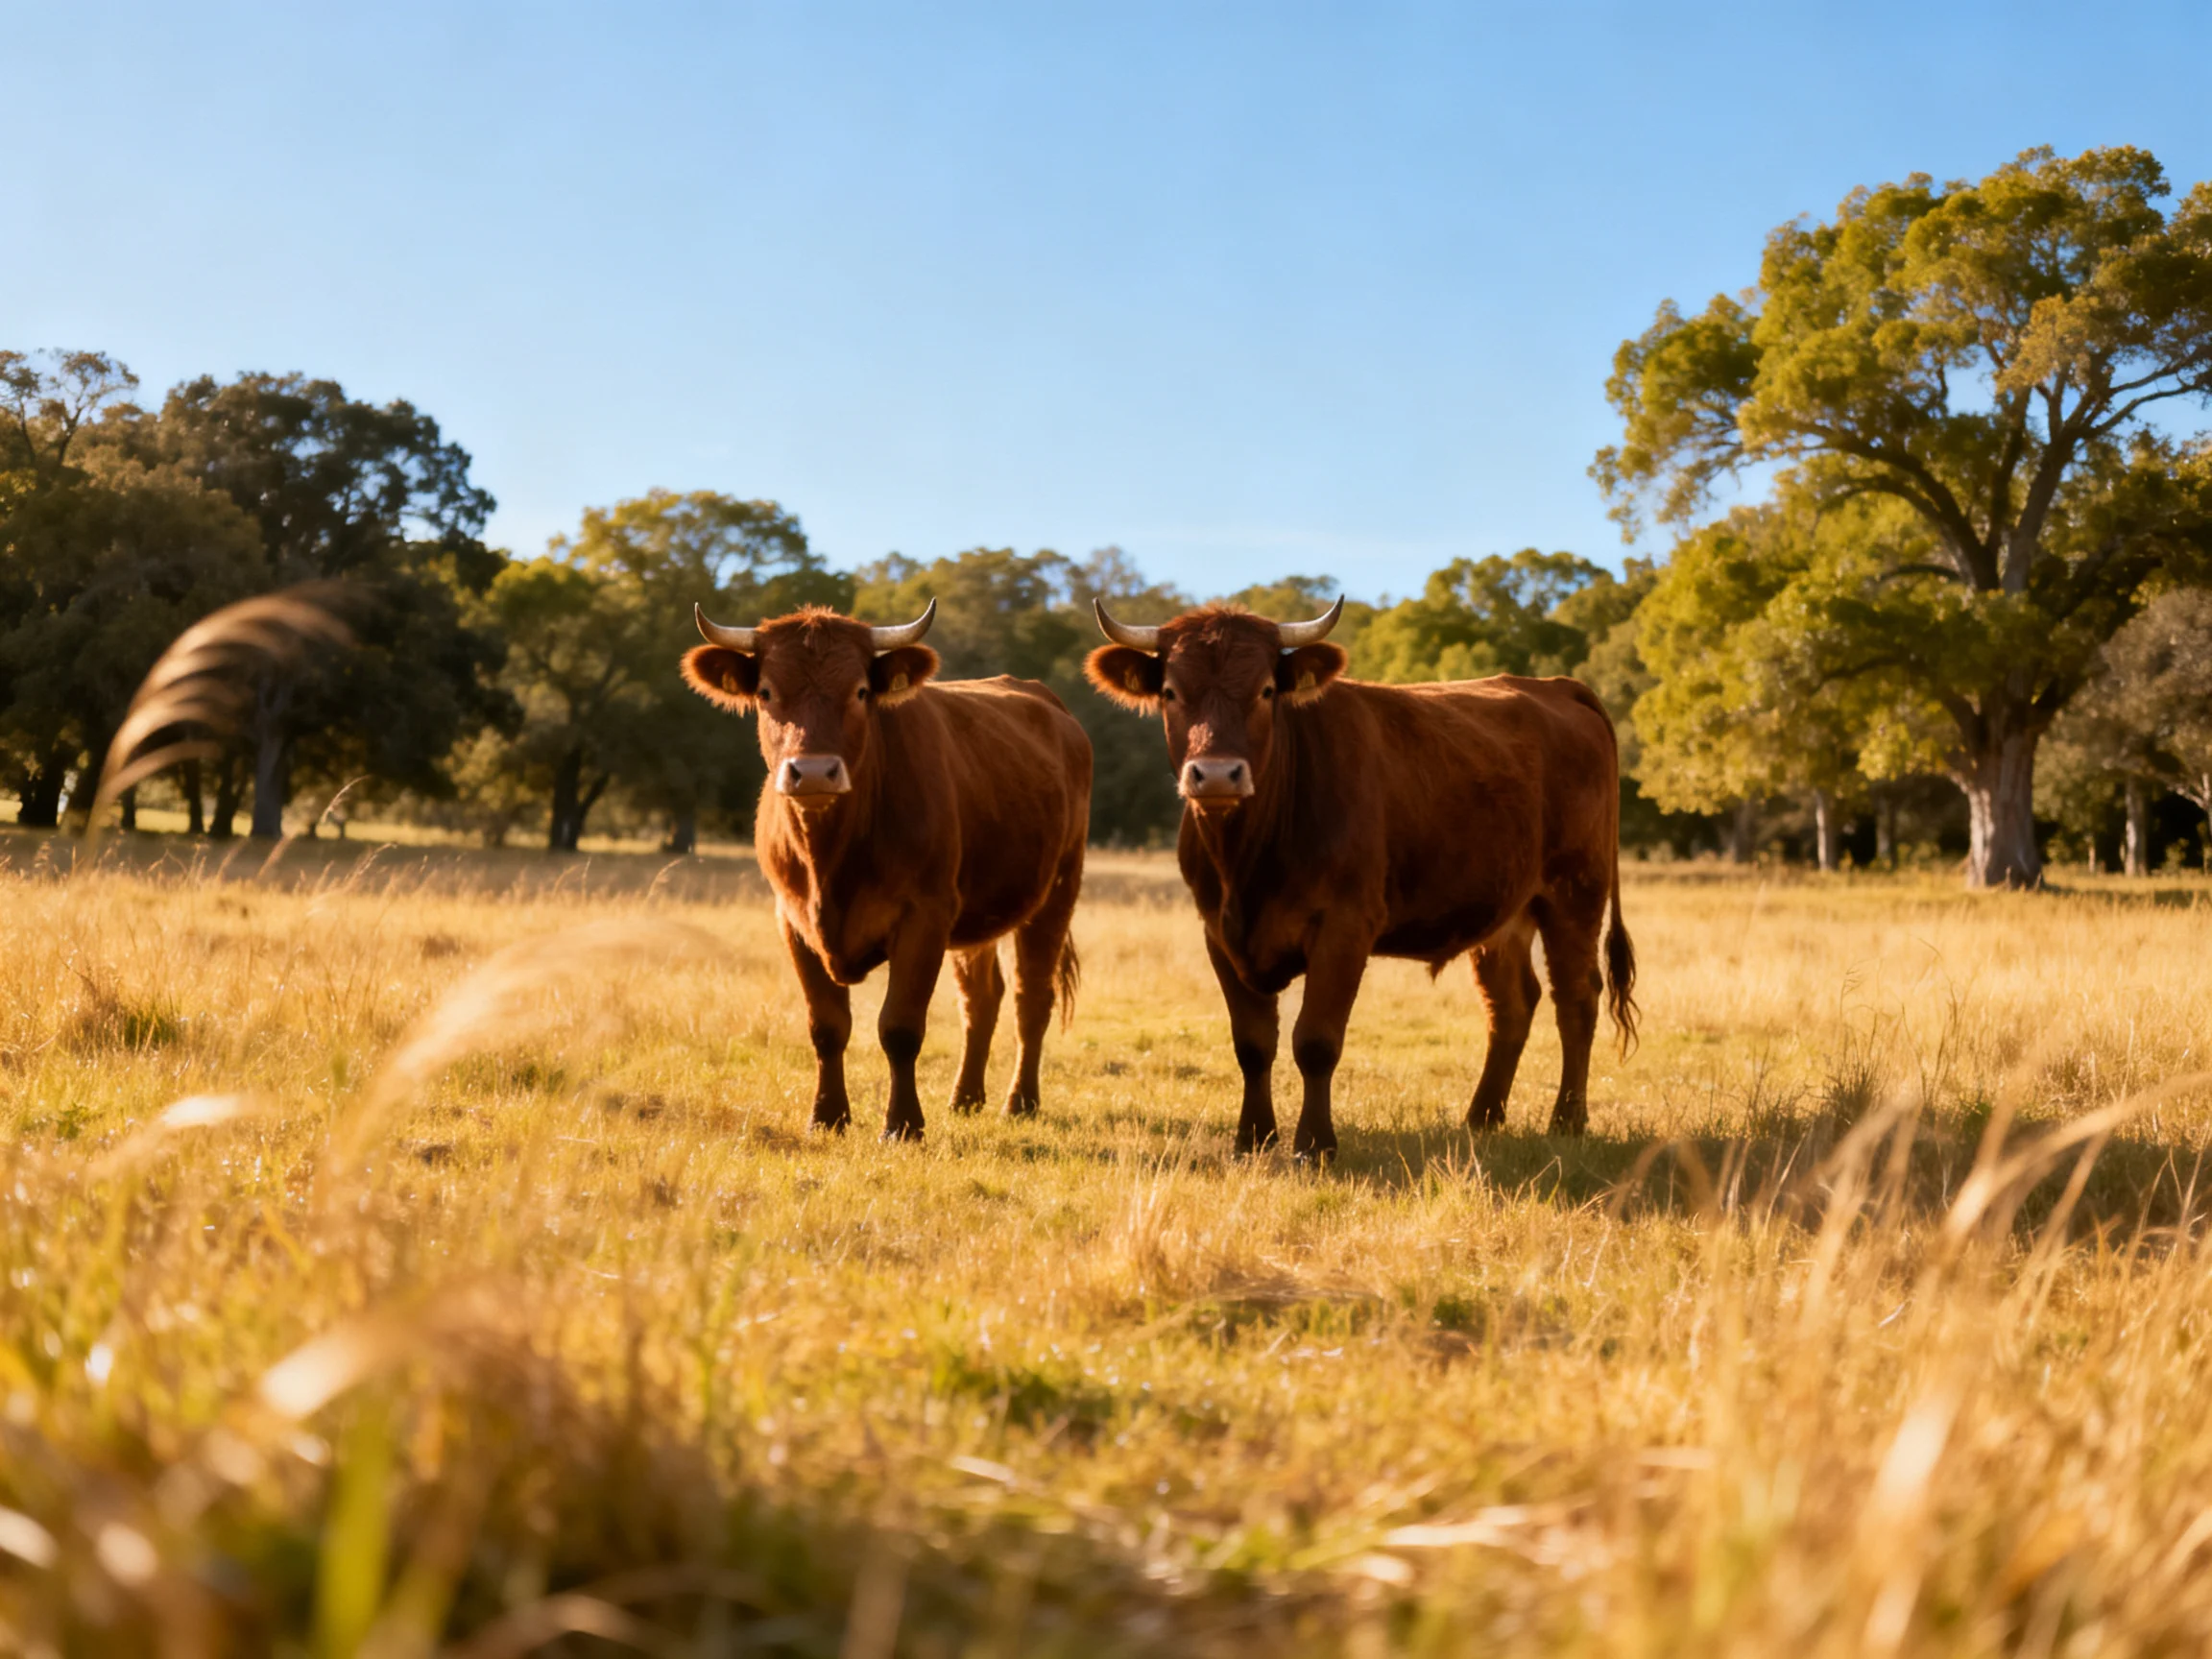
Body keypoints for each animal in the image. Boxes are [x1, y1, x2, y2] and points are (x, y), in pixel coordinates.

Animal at [682, 600, 1091, 1141]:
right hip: (977, 915)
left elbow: (899, 1027)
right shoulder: (792, 920)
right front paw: (827, 1116)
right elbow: (826, 1025)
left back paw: (1019, 1101)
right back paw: (965, 1098)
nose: (813, 772)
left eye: (860, 691)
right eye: (766, 691)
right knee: (982, 1000)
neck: (831, 861)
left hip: (1057, 891)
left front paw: (903, 1125)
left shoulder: (925, 916)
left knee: (1032, 999)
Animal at [1084, 597, 1635, 1159]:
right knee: (1512, 1004)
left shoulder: (1344, 928)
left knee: (1577, 997)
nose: (1217, 775)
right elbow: (1252, 1044)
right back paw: (1482, 1118)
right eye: (1172, 692)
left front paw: (1314, 1144)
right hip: (1505, 913)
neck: (1247, 862)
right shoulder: (1219, 933)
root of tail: (1554, 686)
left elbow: (1316, 1041)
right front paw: (1254, 1138)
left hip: (1575, 893)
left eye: (1266, 690)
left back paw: (1567, 1119)